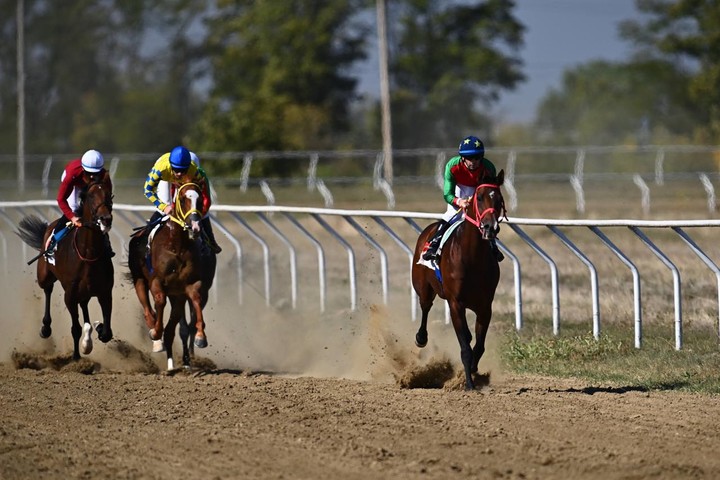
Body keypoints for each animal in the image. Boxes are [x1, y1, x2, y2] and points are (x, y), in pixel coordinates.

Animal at [15, 174, 114, 358]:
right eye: (90, 196)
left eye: (109, 195)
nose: (106, 219)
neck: (88, 253)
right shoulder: (70, 295)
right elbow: (75, 328)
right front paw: (76, 356)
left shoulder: (105, 292)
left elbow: (106, 333)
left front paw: (96, 329)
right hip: (44, 276)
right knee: (47, 290)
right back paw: (46, 328)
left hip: (85, 291)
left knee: (84, 305)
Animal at [128, 180, 215, 372]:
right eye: (183, 199)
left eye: (200, 199)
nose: (195, 226)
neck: (177, 245)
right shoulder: (157, 281)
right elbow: (159, 300)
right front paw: (155, 332)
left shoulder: (191, 284)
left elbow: (196, 300)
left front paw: (201, 337)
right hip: (139, 279)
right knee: (148, 308)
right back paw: (157, 340)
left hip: (178, 296)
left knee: (174, 328)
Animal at [410, 169, 506, 390]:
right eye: (479, 197)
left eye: (499, 199)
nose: (490, 227)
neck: (472, 257)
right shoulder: (456, 304)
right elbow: (465, 348)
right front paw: (469, 384)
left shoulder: (485, 306)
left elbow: (478, 346)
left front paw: (472, 371)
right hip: (423, 288)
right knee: (425, 307)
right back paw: (421, 337)